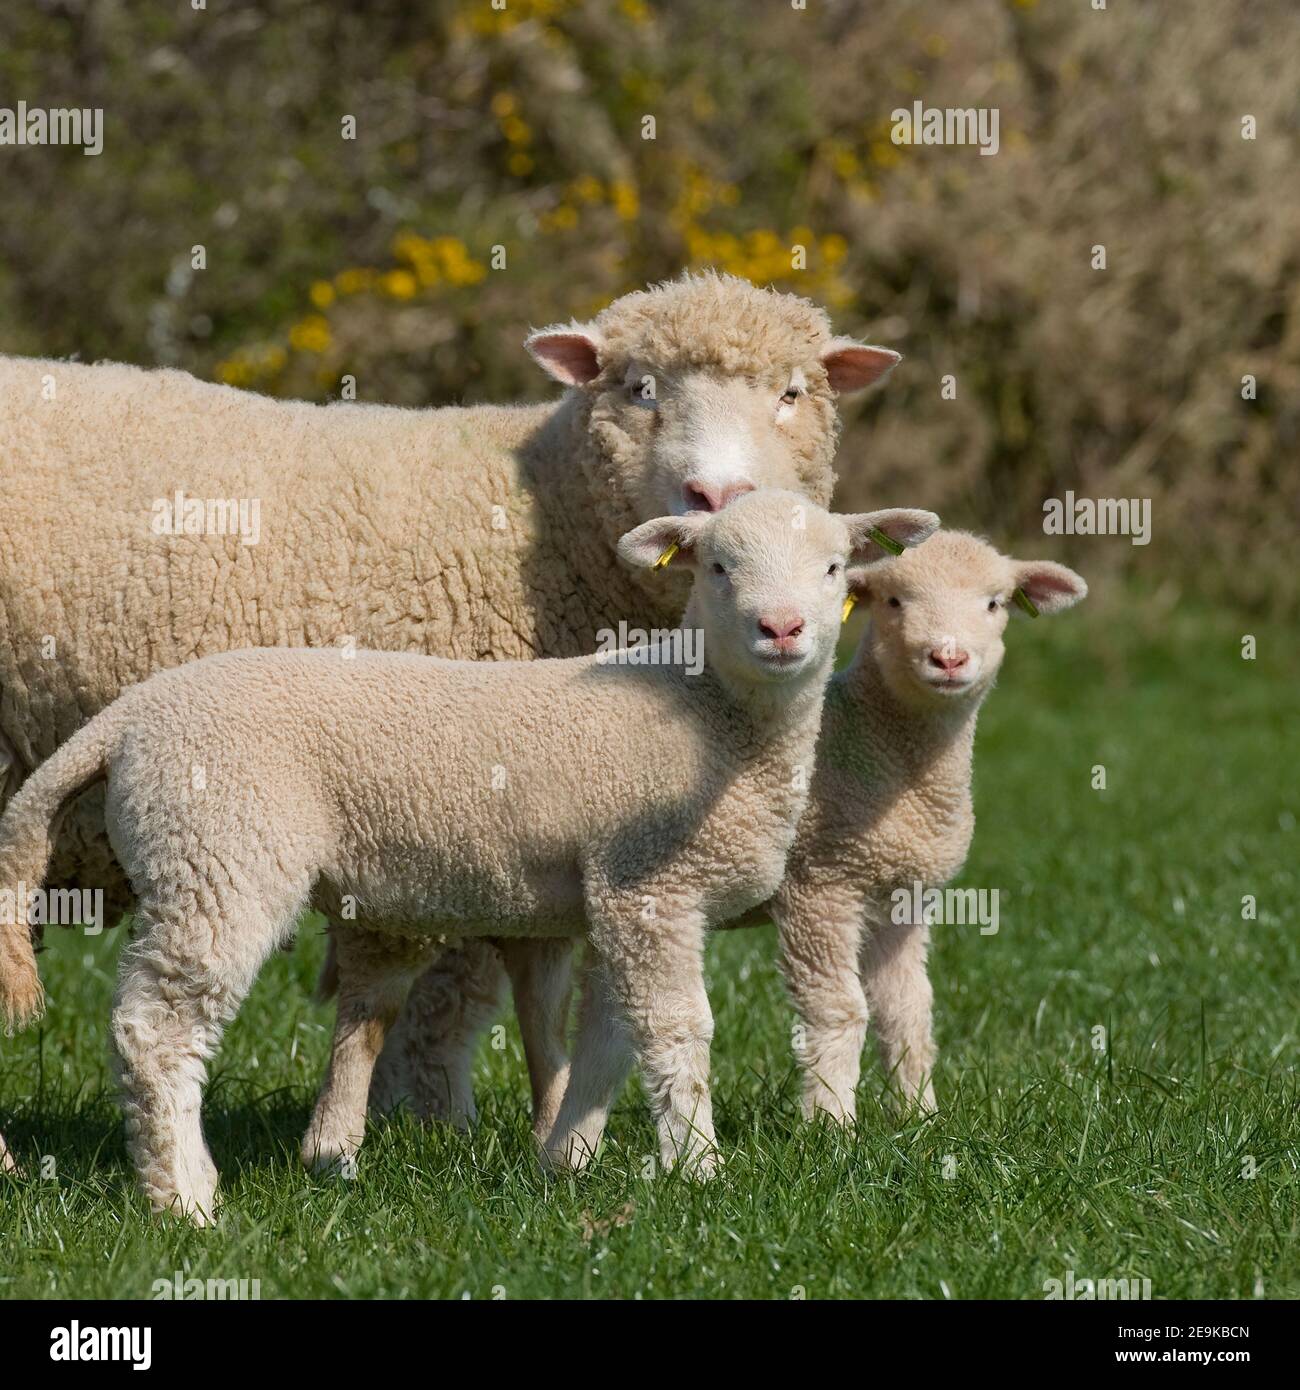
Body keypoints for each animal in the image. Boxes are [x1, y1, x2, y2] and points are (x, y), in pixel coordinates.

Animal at [0, 271, 903, 1152]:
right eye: (640, 388)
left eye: (791, 393)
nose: (714, 491)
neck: (548, 523)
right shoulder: (458, 818)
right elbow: (451, 992)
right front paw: (433, 1118)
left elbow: (536, 985)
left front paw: (543, 1125)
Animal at [0, 492, 939, 1220]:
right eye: (716, 567)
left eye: (833, 570)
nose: (781, 628)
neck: (711, 716)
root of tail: (129, 720)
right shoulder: (650, 886)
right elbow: (677, 1029)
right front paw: (697, 1169)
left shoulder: (620, 900)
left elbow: (607, 1040)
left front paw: (567, 1161)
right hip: (217, 854)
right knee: (155, 1031)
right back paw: (184, 1199)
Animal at [540, 531, 1086, 1158]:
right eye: (894, 601)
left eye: (994, 603)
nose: (948, 659)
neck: (886, 750)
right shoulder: (820, 887)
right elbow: (839, 1010)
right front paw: (831, 1130)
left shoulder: (902, 899)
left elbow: (908, 1011)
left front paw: (921, 1120)